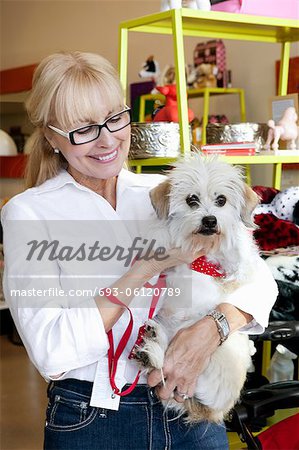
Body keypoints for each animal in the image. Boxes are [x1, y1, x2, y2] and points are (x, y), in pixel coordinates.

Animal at [135, 155, 260, 422]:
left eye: (221, 200)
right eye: (192, 200)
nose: (210, 220)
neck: (201, 249)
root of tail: (214, 411)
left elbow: (241, 252)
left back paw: (151, 351)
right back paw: (151, 347)